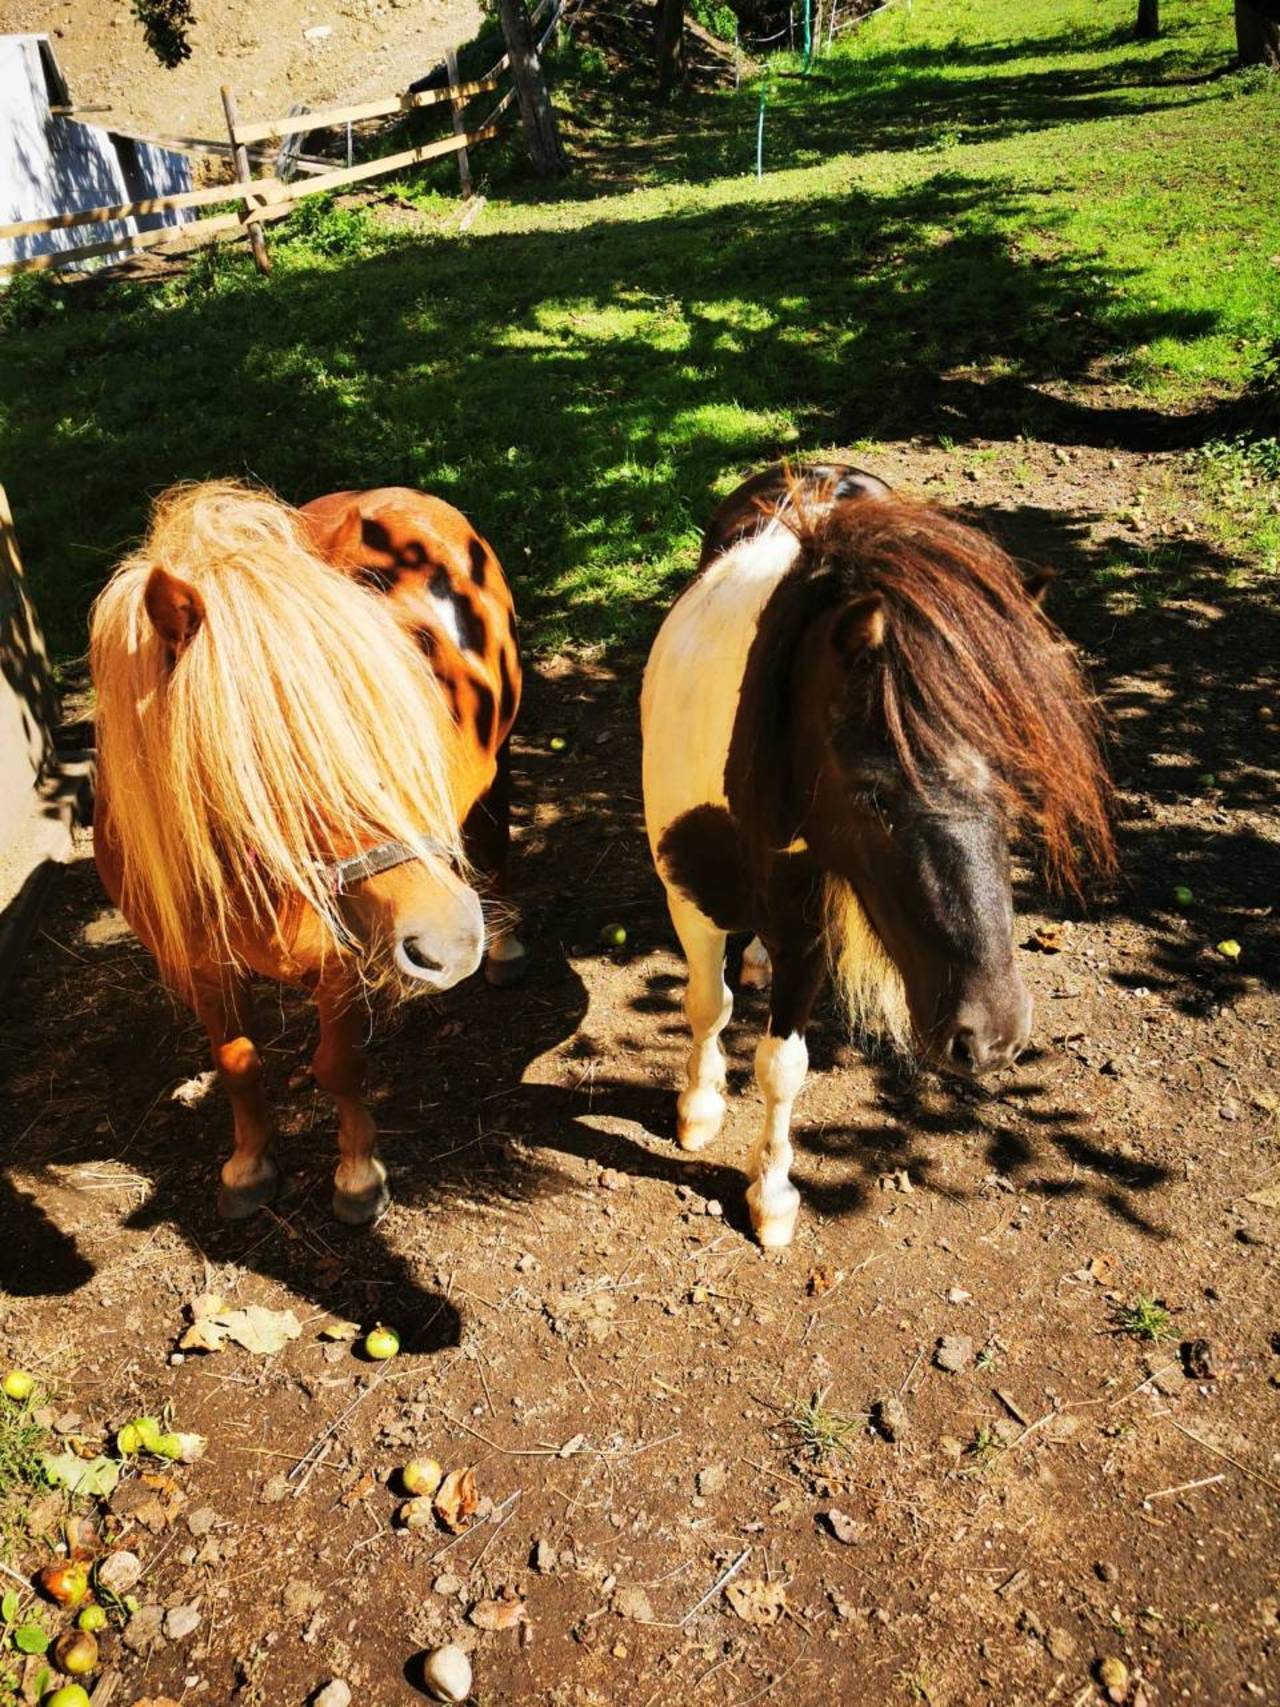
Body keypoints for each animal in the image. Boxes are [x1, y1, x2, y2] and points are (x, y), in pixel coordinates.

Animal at [92, 481, 525, 1229]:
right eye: (258, 755)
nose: (452, 940)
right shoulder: (201, 964)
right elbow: (236, 1060)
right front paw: (248, 1165)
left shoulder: (342, 961)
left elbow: (337, 1064)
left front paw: (357, 1175)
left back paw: (506, 948)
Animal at [645, 460, 1119, 1249]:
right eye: (872, 795)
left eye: (1013, 778)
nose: (992, 1036)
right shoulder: (687, 896)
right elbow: (708, 1005)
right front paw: (700, 1107)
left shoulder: (808, 932)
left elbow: (782, 1063)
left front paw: (771, 1193)